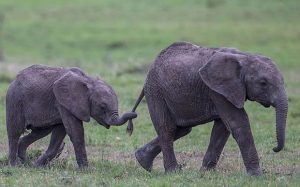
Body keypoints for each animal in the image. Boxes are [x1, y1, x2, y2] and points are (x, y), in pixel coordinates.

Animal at [6, 64, 137, 168]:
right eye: (102, 107)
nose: (134, 114)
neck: (88, 81)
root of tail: (14, 80)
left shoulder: (65, 104)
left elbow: (60, 132)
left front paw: (37, 166)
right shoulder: (64, 102)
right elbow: (75, 132)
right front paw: (87, 170)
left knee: (41, 131)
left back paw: (26, 162)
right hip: (15, 100)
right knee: (15, 131)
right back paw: (15, 166)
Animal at [126, 41, 288, 176]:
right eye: (263, 83)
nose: (274, 148)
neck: (245, 57)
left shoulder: (223, 90)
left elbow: (222, 128)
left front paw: (206, 173)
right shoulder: (217, 90)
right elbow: (238, 123)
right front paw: (257, 176)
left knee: (182, 129)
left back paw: (143, 161)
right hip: (156, 91)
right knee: (167, 128)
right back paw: (173, 172)